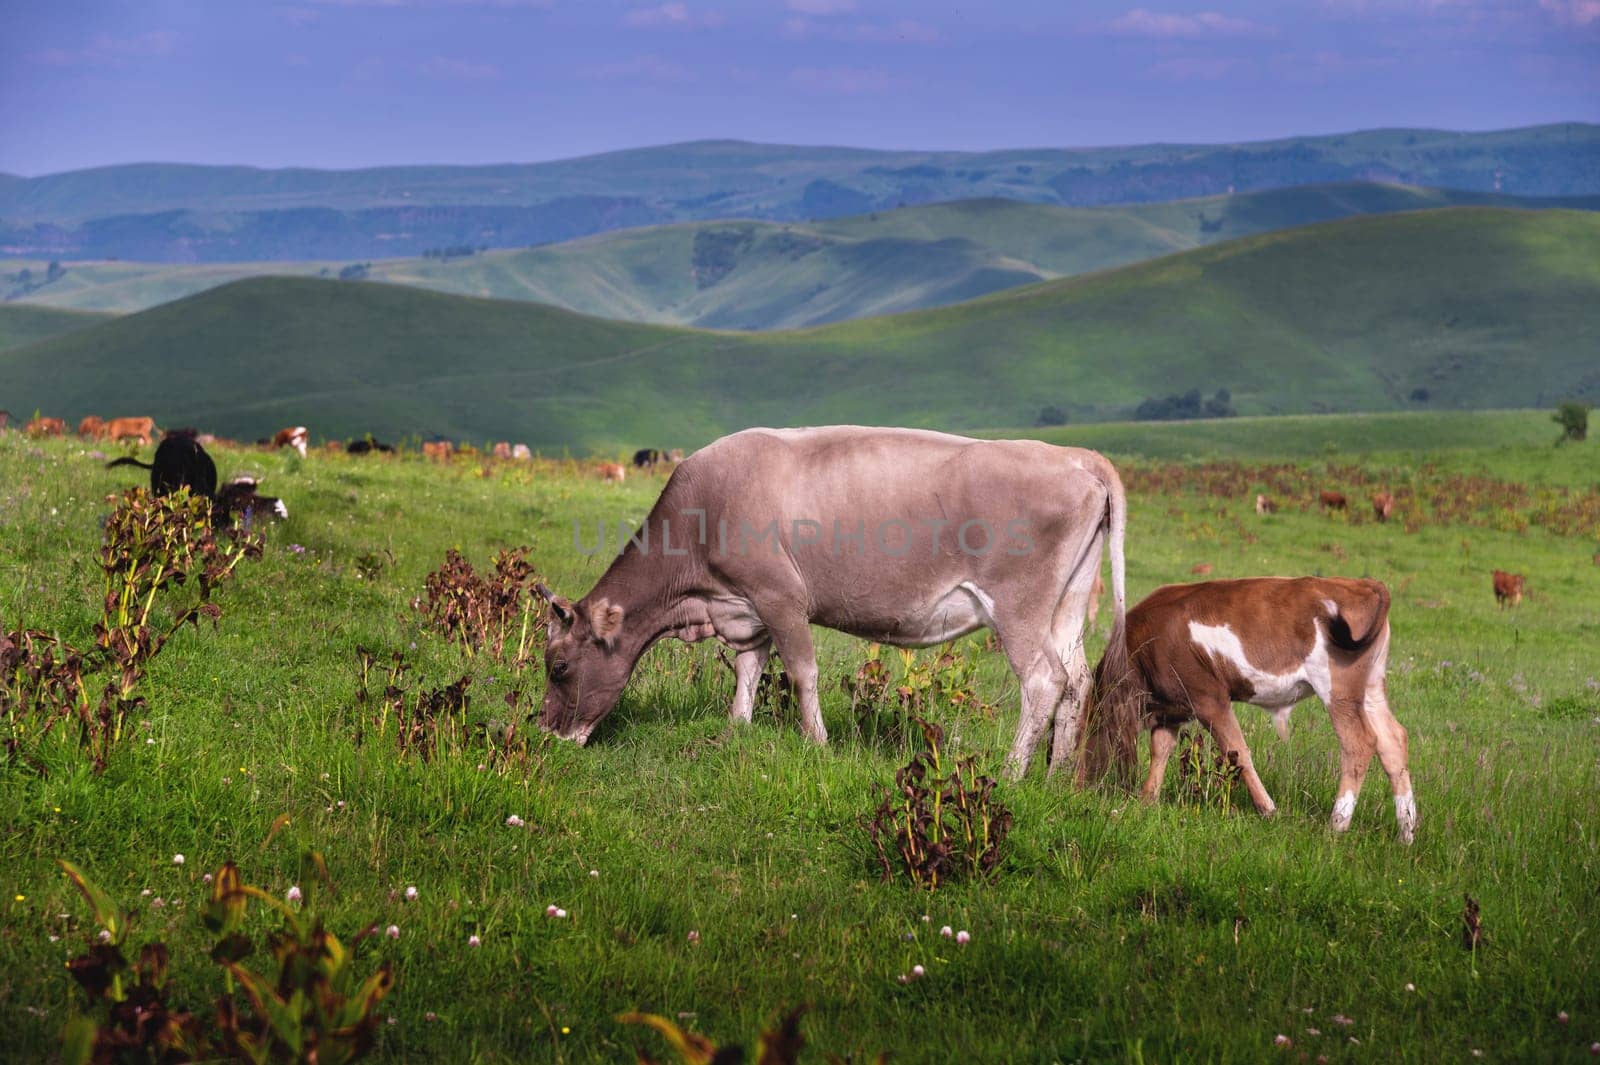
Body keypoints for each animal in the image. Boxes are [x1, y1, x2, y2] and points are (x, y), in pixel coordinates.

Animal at [537, 422, 1139, 780]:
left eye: (559, 665)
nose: (545, 733)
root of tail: (1076, 457)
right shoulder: (747, 607)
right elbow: (748, 668)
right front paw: (737, 728)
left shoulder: (779, 594)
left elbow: (802, 671)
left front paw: (818, 743)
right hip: (1068, 604)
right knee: (1078, 678)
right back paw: (1057, 775)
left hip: (1017, 605)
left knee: (1044, 679)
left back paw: (1013, 772)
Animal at [1088, 575, 1414, 844]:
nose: (1083, 784)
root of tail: (1361, 584)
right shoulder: (1172, 708)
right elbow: (1160, 750)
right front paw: (1146, 801)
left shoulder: (1209, 700)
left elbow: (1237, 750)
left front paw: (1268, 809)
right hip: (1370, 689)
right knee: (1392, 741)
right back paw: (1406, 834)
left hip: (1339, 691)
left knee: (1358, 743)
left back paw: (1337, 826)